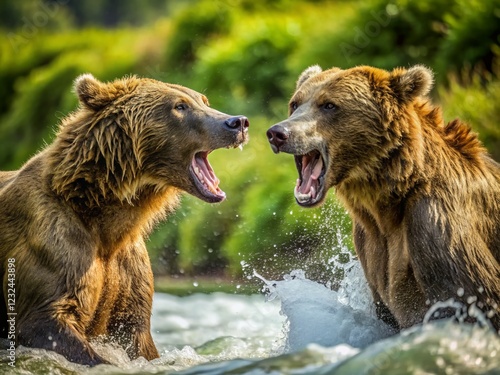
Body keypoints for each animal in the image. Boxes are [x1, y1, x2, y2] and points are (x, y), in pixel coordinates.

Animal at [0, 72, 249, 364]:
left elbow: (136, 333)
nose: (237, 122)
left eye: (204, 100)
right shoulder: (53, 238)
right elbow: (46, 321)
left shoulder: (127, 266)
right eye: (180, 106)